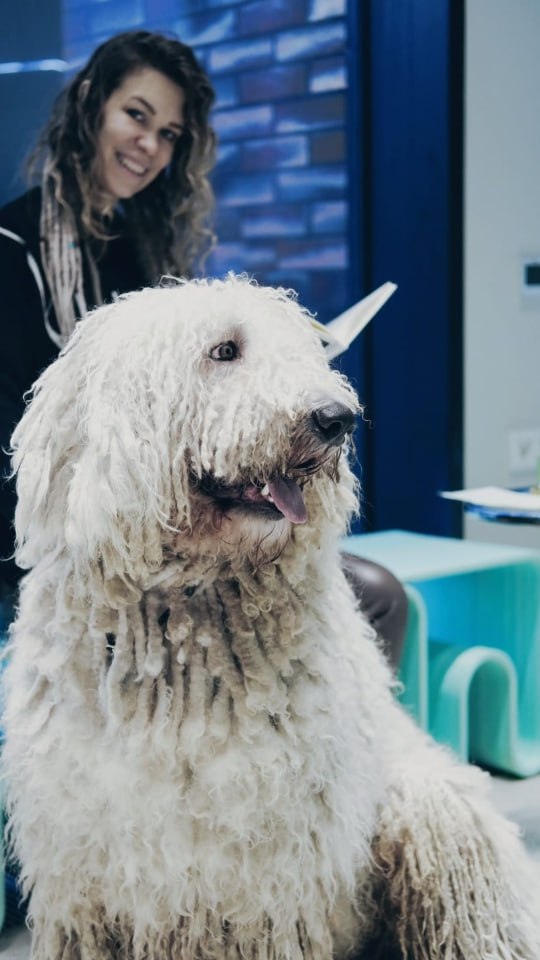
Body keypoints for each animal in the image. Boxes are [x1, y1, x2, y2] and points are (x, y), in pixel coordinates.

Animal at [3, 275, 539, 959]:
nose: (337, 418)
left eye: (310, 351)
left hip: (434, 817)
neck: (185, 623)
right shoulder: (81, 877)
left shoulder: (267, 880)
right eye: (224, 351)